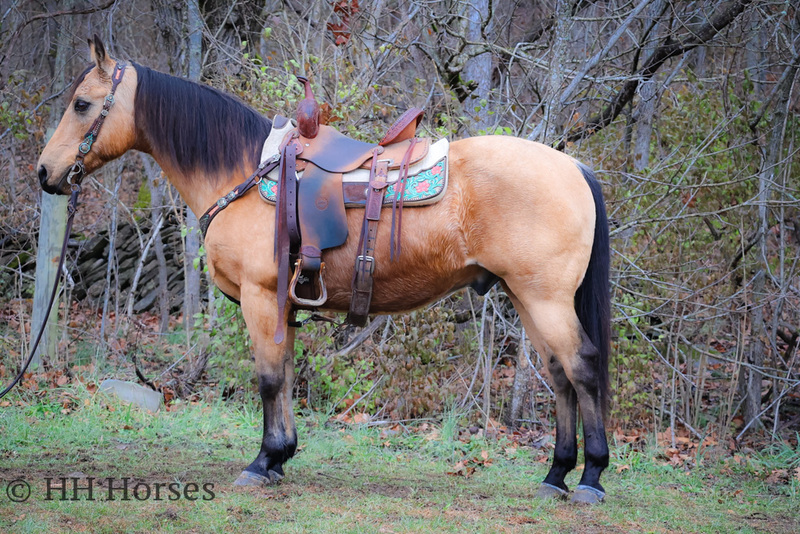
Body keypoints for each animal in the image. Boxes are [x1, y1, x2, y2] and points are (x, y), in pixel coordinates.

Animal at [36, 38, 612, 506]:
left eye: (82, 104)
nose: (45, 172)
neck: (243, 172)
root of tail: (573, 167)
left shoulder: (261, 297)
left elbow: (269, 379)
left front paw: (262, 461)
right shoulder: (284, 302)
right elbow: (287, 373)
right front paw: (282, 457)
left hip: (545, 298)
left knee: (581, 367)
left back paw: (590, 479)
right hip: (525, 297)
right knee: (560, 375)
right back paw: (556, 475)